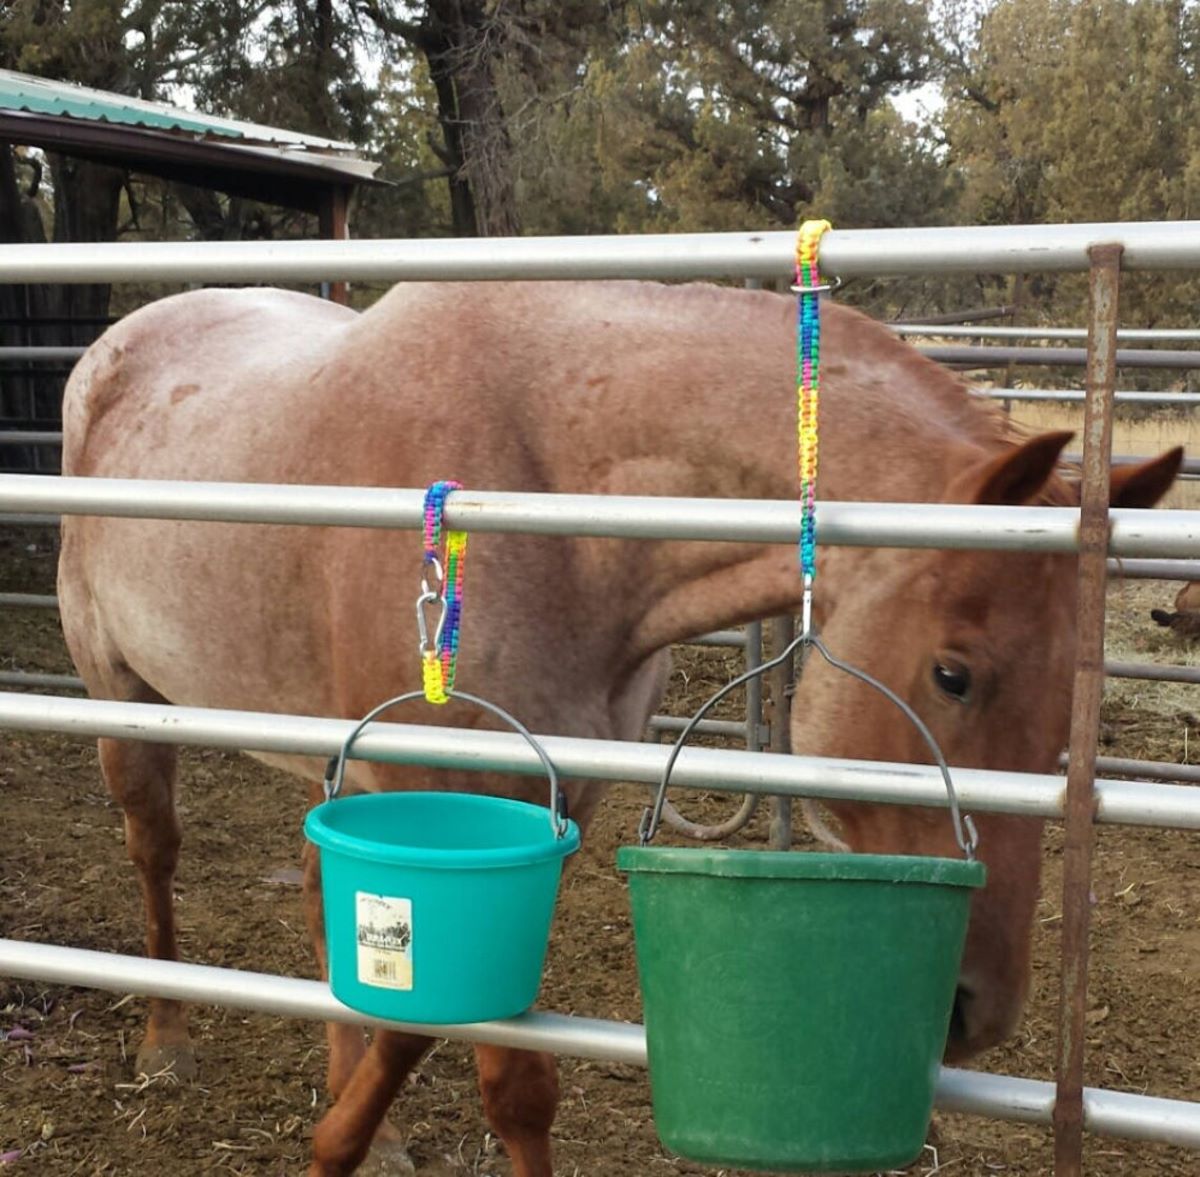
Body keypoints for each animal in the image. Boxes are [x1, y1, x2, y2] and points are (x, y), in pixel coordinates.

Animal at [58, 280, 1180, 1171]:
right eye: (953, 675)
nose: (977, 1009)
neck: (543, 507)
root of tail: (117, 347)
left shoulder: (550, 807)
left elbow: (488, 1061)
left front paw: (356, 1127)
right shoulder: (456, 808)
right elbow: (465, 1045)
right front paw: (334, 1147)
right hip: (124, 699)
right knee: (154, 849)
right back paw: (165, 1037)